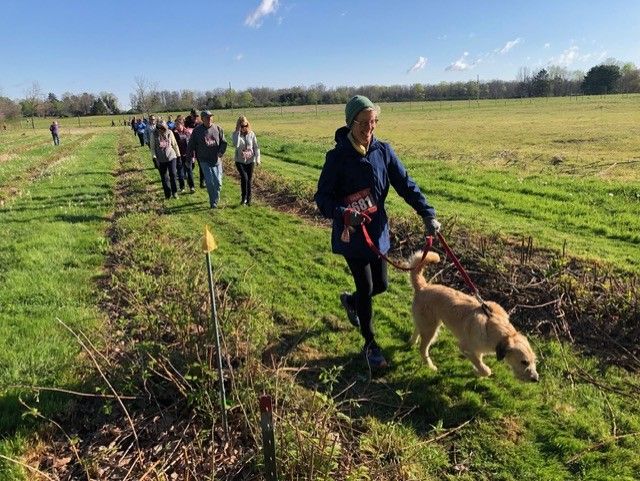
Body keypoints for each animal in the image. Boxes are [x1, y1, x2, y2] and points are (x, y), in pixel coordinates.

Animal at [408, 249, 536, 380]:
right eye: (524, 362)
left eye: (534, 361)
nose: (536, 379)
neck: (492, 326)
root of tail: (423, 287)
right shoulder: (466, 348)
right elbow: (485, 369)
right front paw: (479, 371)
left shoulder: (478, 351)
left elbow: (479, 363)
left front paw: (477, 372)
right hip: (431, 329)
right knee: (423, 348)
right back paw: (430, 365)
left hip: (427, 323)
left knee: (417, 329)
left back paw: (412, 342)